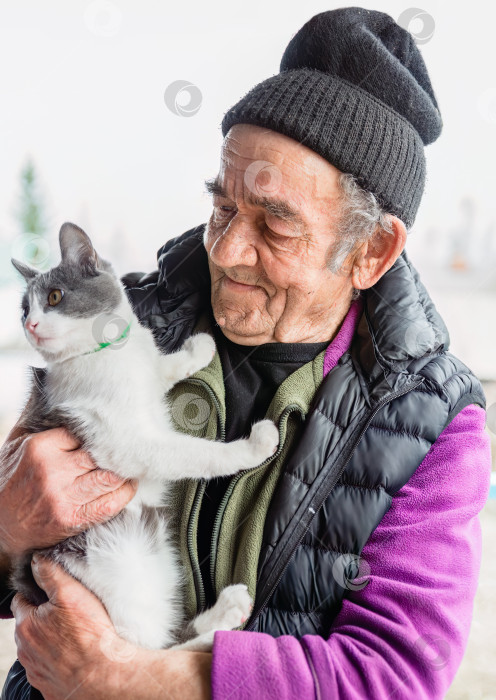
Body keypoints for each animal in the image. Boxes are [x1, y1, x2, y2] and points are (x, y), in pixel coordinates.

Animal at [8, 223, 280, 652]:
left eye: (54, 297)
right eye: (24, 309)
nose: (30, 325)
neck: (109, 353)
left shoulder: (144, 369)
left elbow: (159, 369)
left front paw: (196, 349)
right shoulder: (121, 442)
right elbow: (194, 453)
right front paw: (251, 448)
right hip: (116, 569)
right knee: (150, 651)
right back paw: (227, 625)